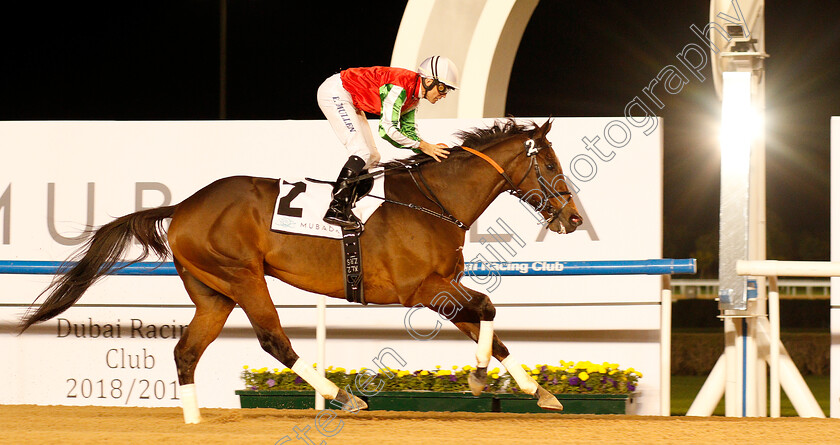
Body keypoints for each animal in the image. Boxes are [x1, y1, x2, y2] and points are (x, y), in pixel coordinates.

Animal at [19, 117, 584, 420]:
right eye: (550, 164)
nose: (575, 218)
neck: (433, 203)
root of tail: (182, 207)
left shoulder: (442, 288)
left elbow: (489, 322)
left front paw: (536, 390)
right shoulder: (421, 289)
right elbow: (487, 307)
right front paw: (482, 379)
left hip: (214, 291)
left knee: (186, 351)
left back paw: (195, 419)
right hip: (243, 276)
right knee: (274, 339)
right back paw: (344, 398)